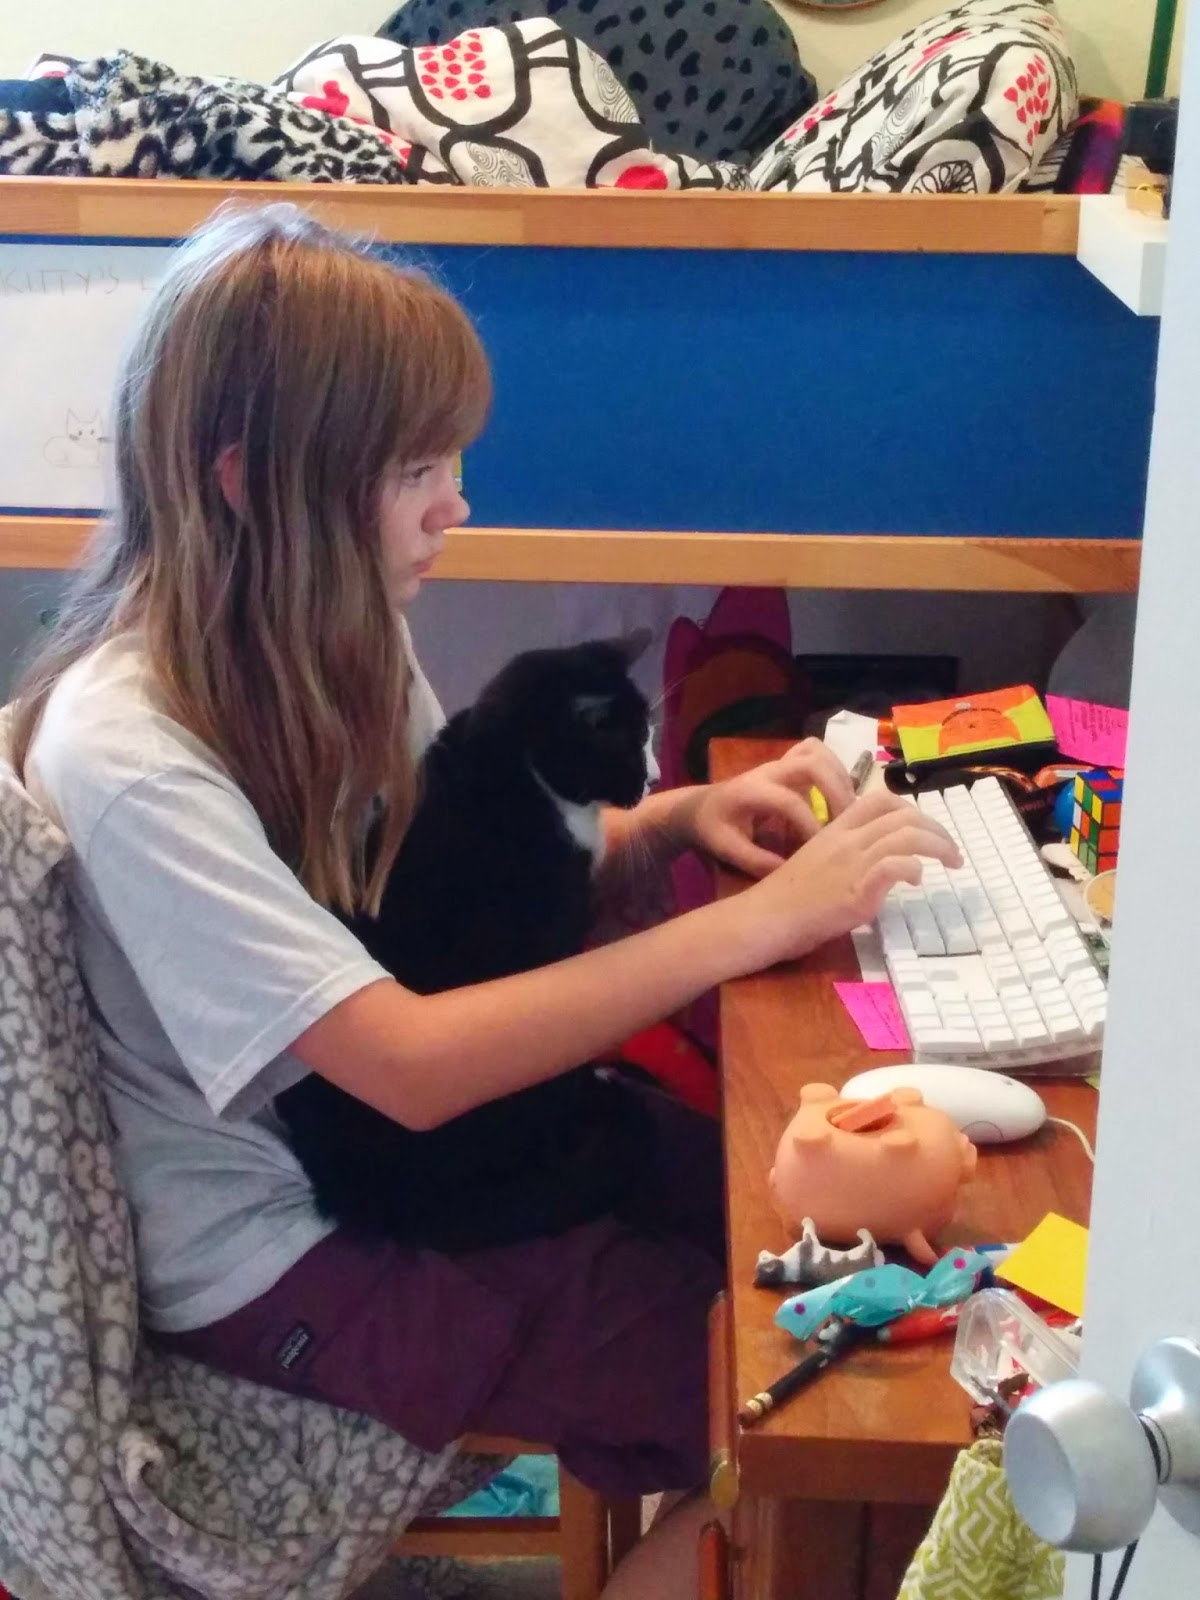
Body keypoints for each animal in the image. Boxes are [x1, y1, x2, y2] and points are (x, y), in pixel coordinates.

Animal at [276, 634, 661, 1253]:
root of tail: (384, 1200)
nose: (654, 778)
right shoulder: (551, 938)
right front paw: (592, 1085)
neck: (516, 771)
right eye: (631, 744)